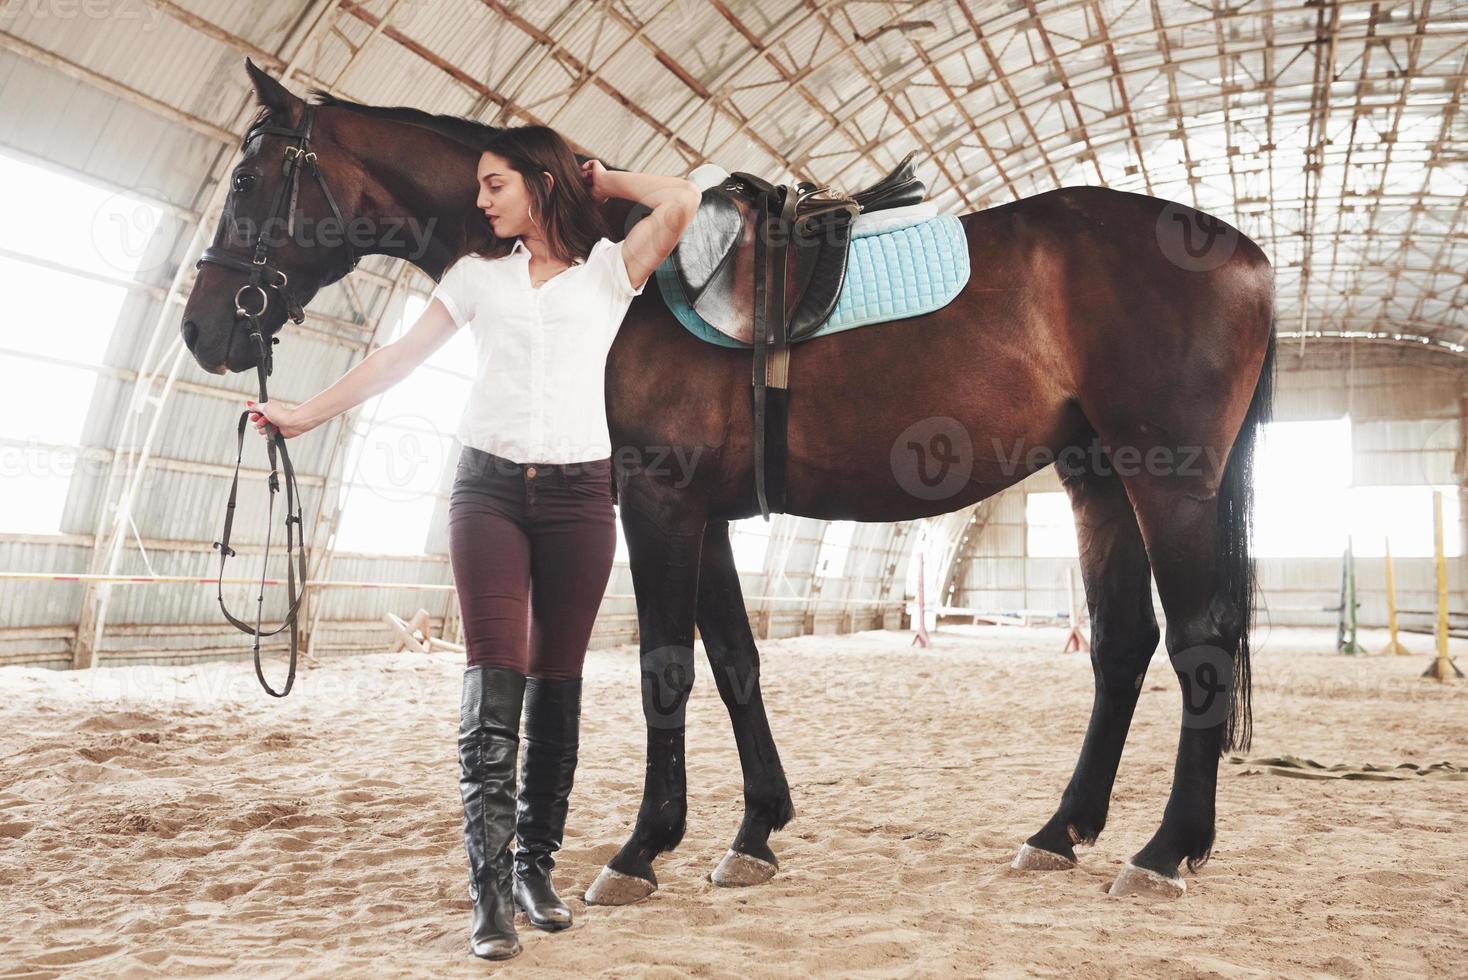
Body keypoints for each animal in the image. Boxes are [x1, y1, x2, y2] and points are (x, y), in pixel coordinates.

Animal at [186, 59, 1274, 903]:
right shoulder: (700, 512)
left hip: (1167, 481)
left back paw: (1163, 850)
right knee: (1124, 643)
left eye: (247, 177)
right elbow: (736, 660)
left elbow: (666, 663)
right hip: (1097, 479)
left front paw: (639, 849)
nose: (204, 328)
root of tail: (1244, 256)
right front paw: (755, 831)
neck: (603, 272)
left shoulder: (658, 500)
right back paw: (1060, 831)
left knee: (1199, 643)